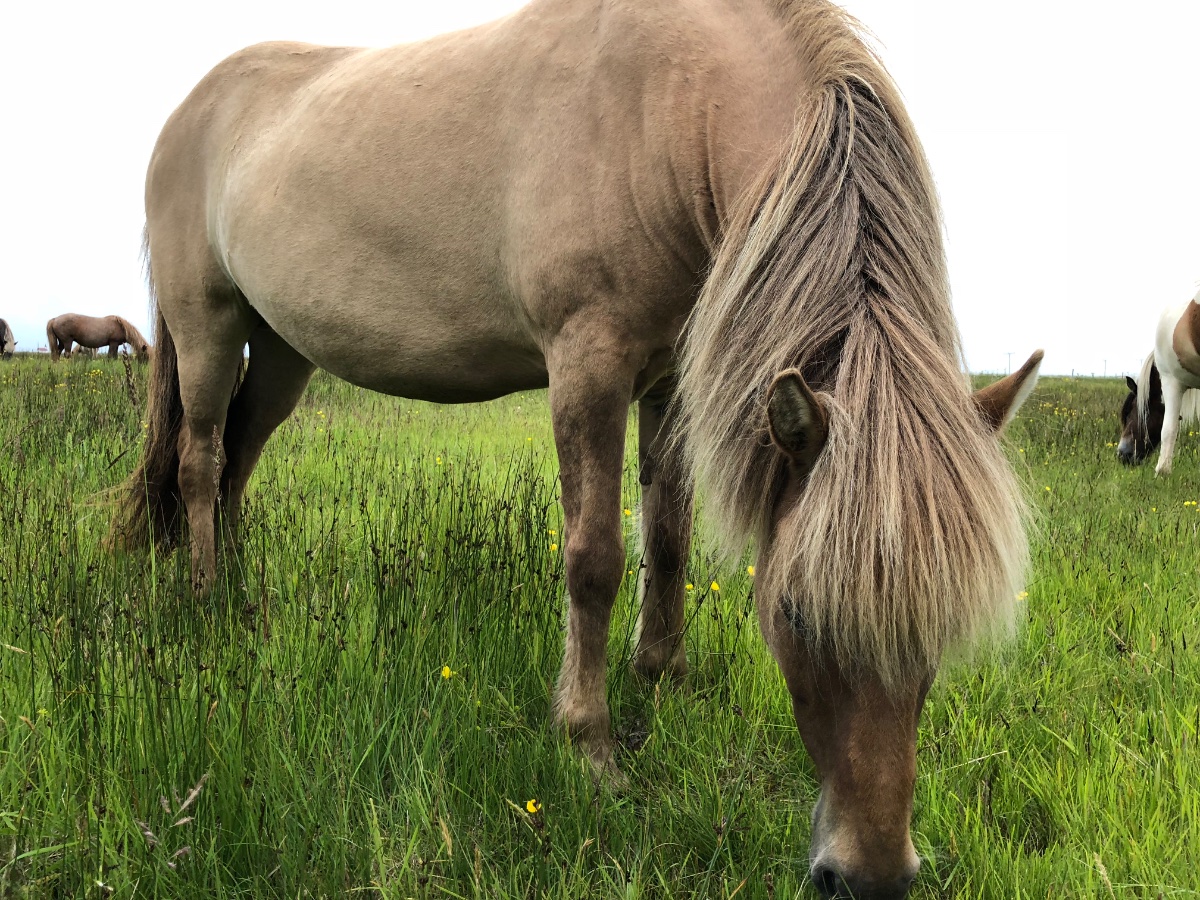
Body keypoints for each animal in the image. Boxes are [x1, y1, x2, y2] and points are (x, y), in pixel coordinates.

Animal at [111, 2, 1041, 895]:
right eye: (793, 611)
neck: (665, 107)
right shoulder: (587, 364)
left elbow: (668, 537)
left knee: (240, 458)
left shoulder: (669, 379)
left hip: (280, 350)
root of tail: (190, 108)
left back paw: (242, 598)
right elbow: (595, 558)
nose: (871, 875)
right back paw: (205, 601)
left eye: (947, 625)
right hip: (206, 324)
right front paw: (591, 748)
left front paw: (659, 680)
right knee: (201, 463)